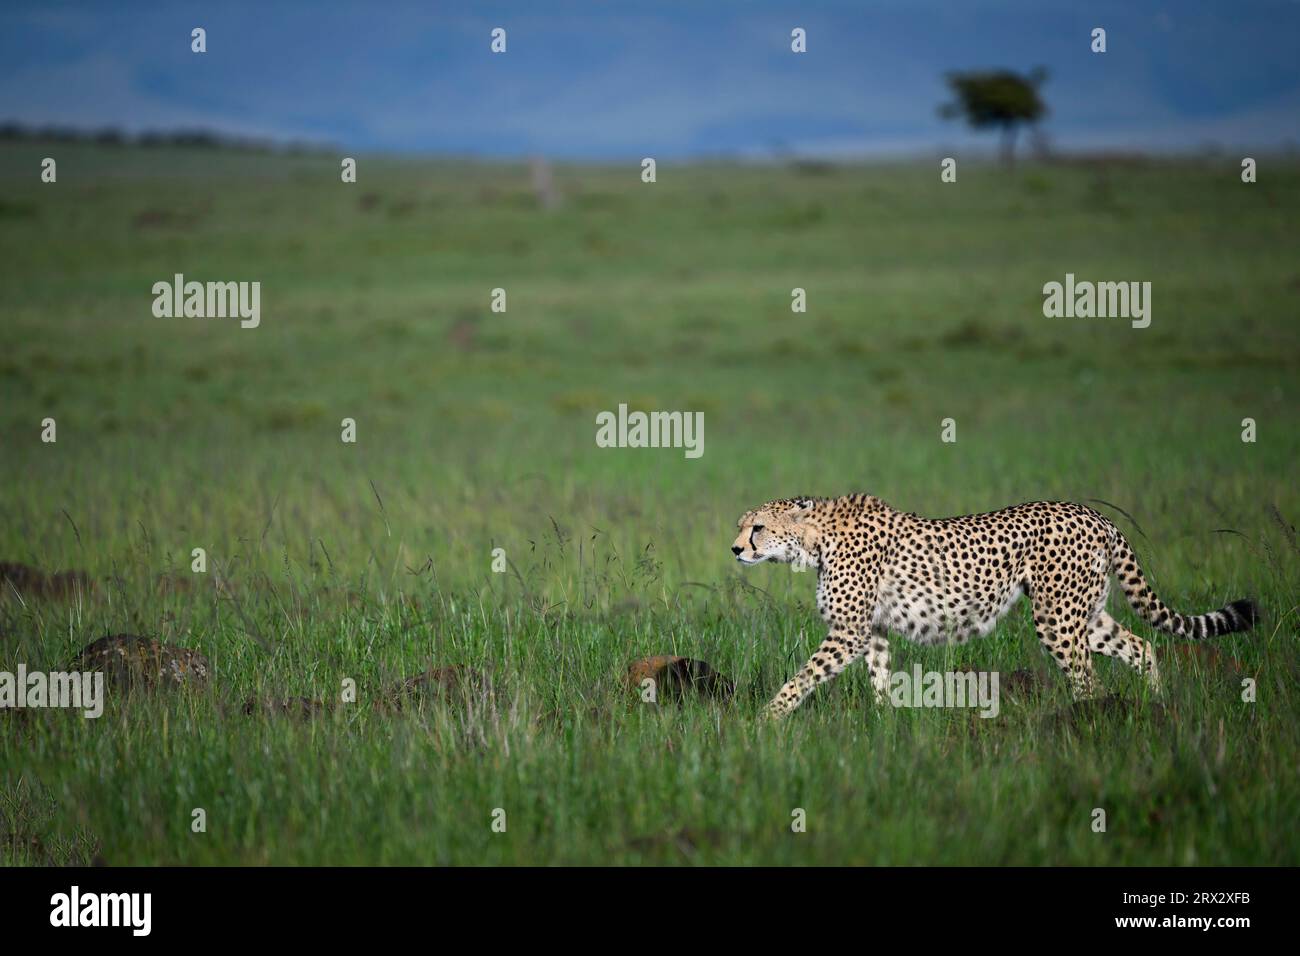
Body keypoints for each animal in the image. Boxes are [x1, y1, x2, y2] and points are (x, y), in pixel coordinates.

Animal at [738, 496, 1263, 712]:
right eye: (743, 526)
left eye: (757, 527)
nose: (735, 548)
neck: (815, 539)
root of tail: (1096, 515)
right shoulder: (874, 630)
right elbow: (879, 678)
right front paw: (886, 727)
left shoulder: (849, 631)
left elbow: (801, 677)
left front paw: (767, 719)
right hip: (1083, 614)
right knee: (1142, 647)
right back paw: (1156, 705)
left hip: (1056, 619)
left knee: (1087, 680)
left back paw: (1089, 729)